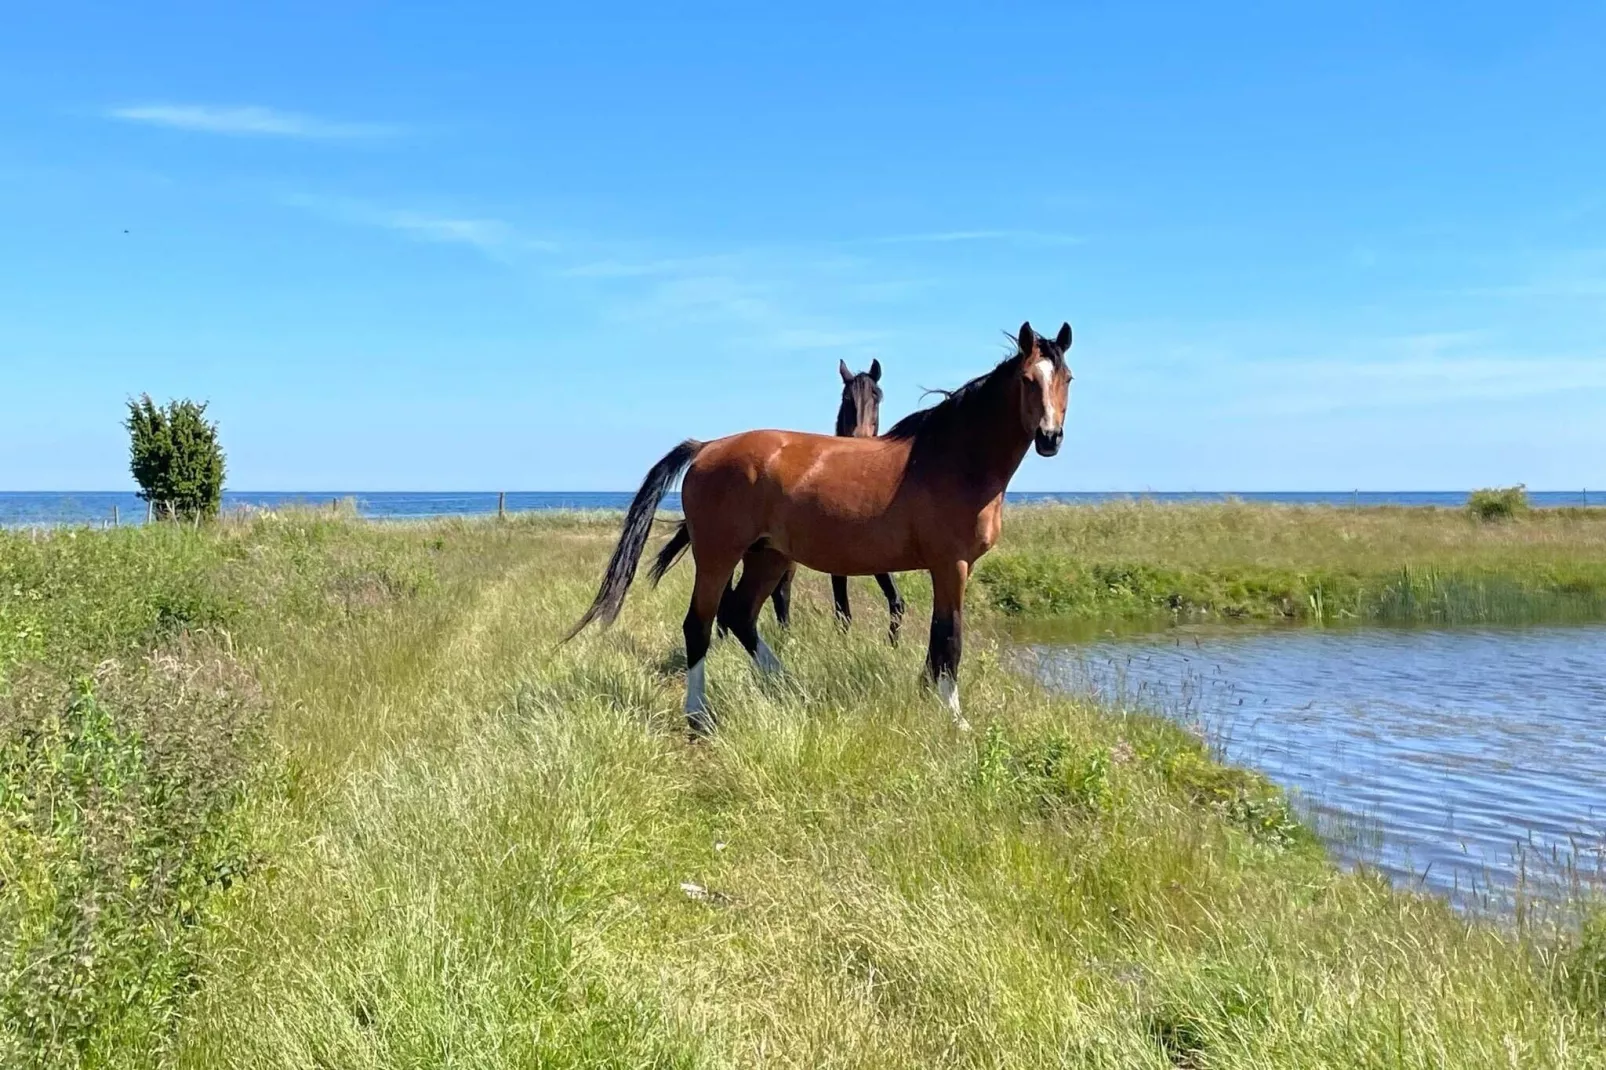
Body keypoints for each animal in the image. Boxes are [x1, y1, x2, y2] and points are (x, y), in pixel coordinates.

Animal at [571, 318, 1072, 732]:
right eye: (1028, 380)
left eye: (1066, 379)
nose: (1050, 438)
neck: (952, 459)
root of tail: (708, 446)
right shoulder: (952, 565)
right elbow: (950, 640)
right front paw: (955, 718)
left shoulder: (943, 569)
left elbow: (935, 639)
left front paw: (927, 698)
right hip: (717, 557)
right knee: (699, 625)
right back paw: (698, 715)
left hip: (768, 557)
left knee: (739, 616)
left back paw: (790, 687)